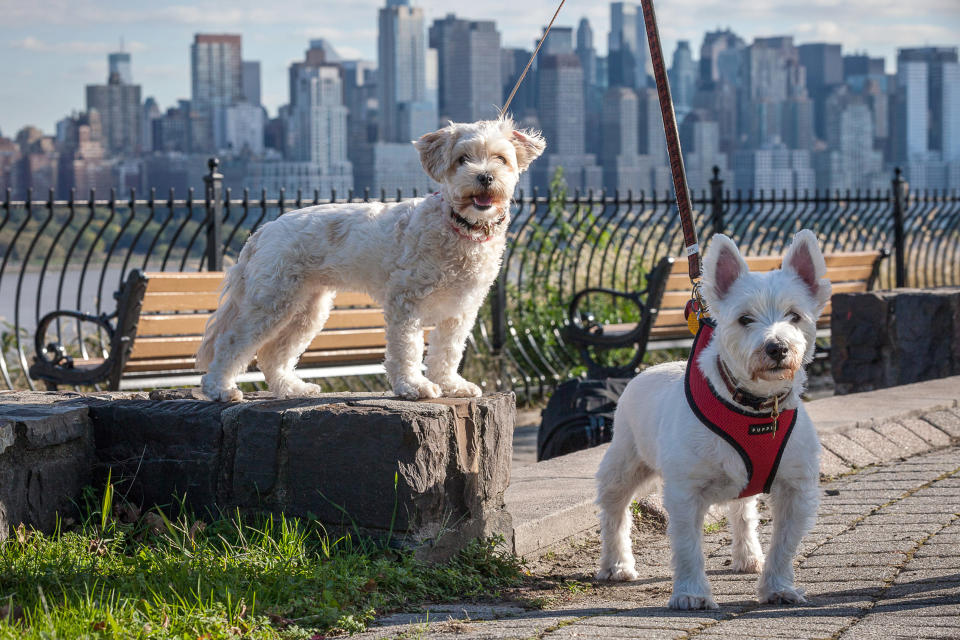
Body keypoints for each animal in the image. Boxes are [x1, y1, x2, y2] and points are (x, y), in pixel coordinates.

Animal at [193, 119, 548, 400]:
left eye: (501, 158)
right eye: (462, 159)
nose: (485, 177)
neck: (458, 227)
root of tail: (264, 230)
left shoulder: (460, 309)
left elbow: (448, 351)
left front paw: (451, 385)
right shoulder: (406, 303)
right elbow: (407, 349)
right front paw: (414, 387)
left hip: (307, 309)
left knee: (272, 354)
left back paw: (293, 389)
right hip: (271, 301)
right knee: (232, 342)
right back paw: (219, 388)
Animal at [596, 230, 828, 608]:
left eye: (794, 315)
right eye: (745, 319)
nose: (777, 348)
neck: (754, 408)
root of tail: (650, 368)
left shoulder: (796, 488)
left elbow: (784, 544)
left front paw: (778, 587)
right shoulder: (685, 491)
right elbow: (688, 545)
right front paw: (691, 593)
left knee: (743, 512)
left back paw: (748, 557)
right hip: (625, 461)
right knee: (615, 510)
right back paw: (616, 565)